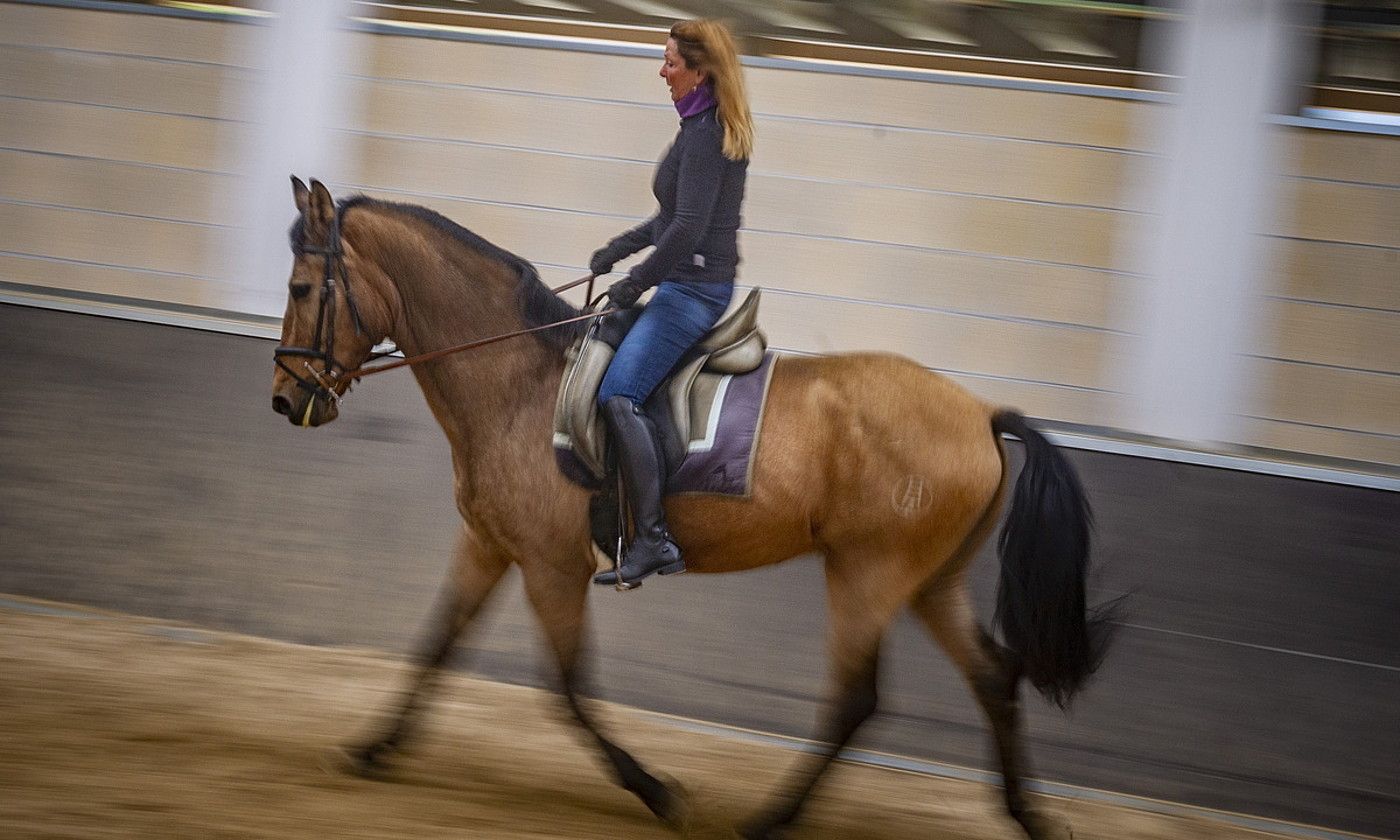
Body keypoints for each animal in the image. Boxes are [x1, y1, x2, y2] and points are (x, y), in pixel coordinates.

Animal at [270, 177, 1103, 840]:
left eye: (303, 290)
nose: (284, 399)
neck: (514, 384)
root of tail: (983, 413)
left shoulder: (550, 566)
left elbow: (568, 687)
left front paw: (658, 792)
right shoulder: (491, 546)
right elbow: (436, 643)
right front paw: (374, 748)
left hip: (869, 573)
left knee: (854, 700)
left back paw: (769, 820)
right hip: (930, 581)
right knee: (993, 676)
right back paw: (1027, 818)